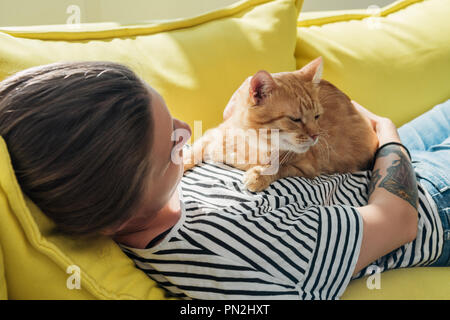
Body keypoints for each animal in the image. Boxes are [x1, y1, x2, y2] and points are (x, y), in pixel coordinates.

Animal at [185, 57, 378, 192]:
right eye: (295, 119)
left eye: (317, 116)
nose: (316, 135)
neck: (253, 147)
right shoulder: (212, 135)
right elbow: (192, 152)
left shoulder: (306, 168)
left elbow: (279, 168)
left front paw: (259, 175)